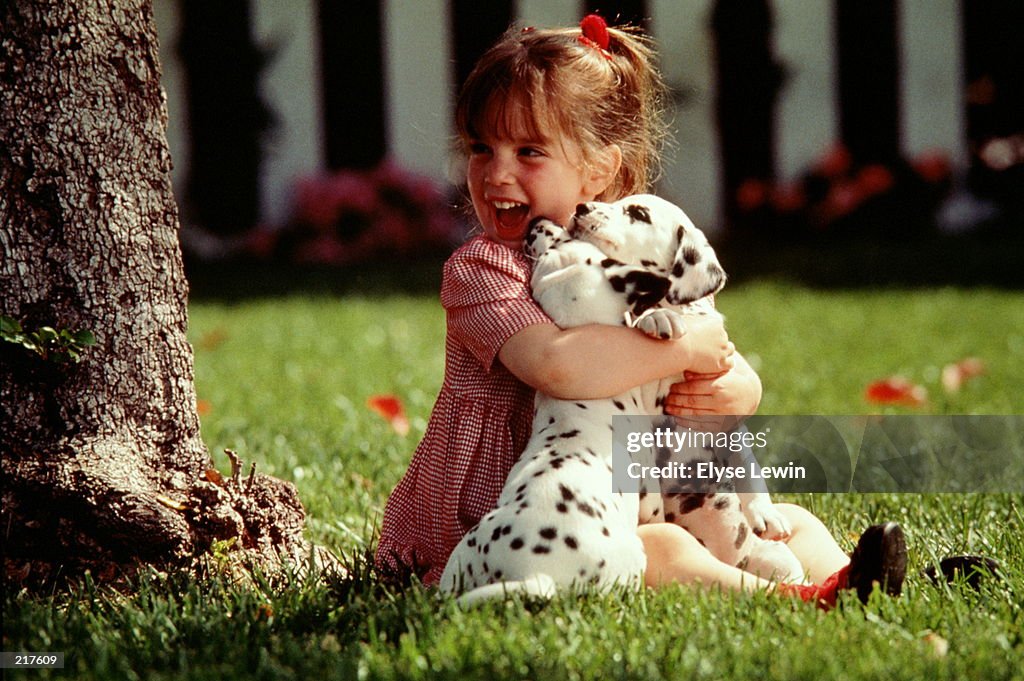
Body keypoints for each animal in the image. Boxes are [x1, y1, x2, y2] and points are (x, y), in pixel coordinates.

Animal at [440, 193, 798, 602]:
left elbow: (746, 461)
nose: (579, 208)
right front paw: (656, 320)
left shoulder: (721, 407)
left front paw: (765, 512)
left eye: (636, 213)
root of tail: (535, 573)